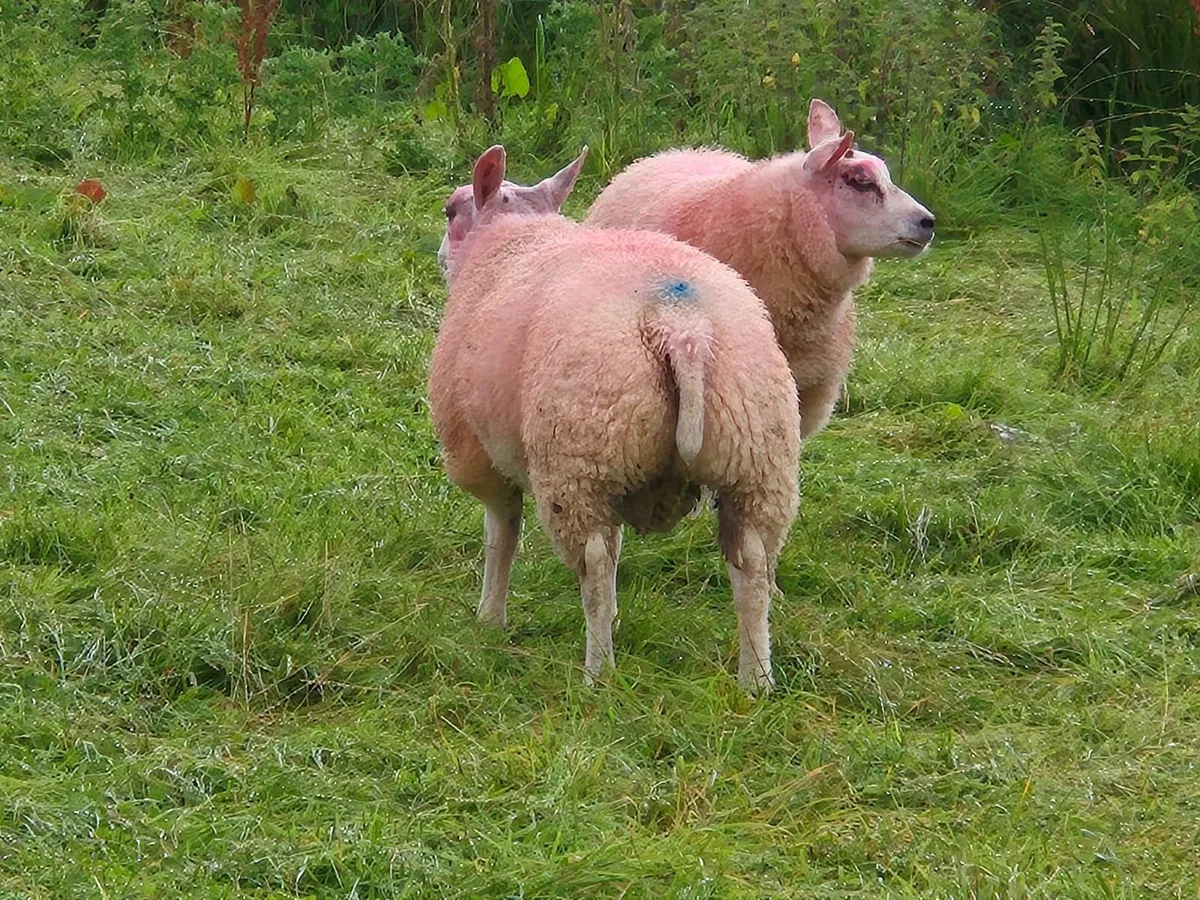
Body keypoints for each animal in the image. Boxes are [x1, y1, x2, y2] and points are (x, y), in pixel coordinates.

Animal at [428, 145, 802, 691]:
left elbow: (502, 536)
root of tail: (682, 328)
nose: (439, 255)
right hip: (755, 454)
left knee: (596, 568)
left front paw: (489, 620)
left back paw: (597, 673)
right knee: (752, 565)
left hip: (578, 457)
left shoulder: (478, 454)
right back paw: (755, 679)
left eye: (451, 211)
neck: (509, 239)